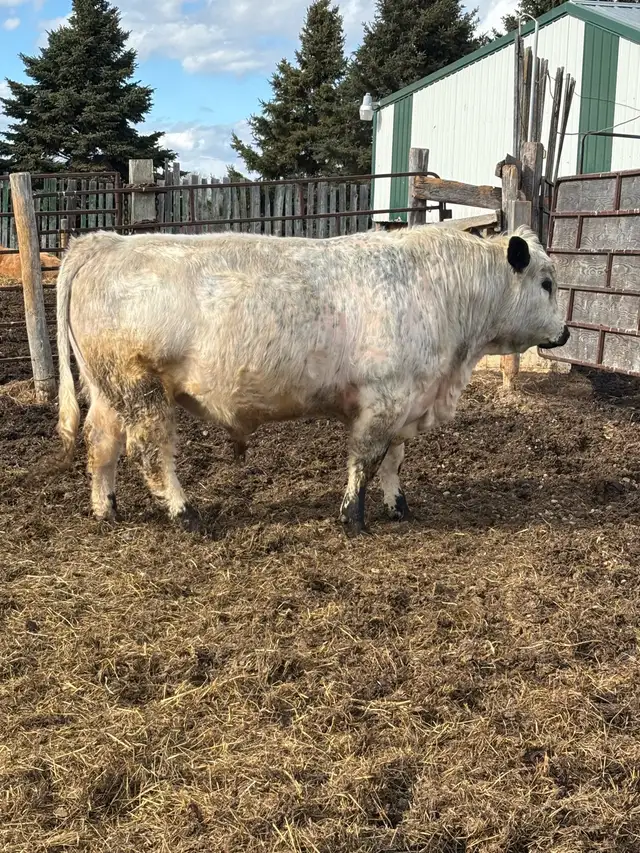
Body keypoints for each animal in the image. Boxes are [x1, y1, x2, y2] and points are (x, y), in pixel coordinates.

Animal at [56, 224, 568, 536]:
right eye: (547, 283)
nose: (564, 332)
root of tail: (106, 242)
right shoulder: (383, 400)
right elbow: (365, 460)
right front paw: (353, 518)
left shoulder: (407, 399)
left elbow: (394, 460)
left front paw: (398, 507)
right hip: (140, 389)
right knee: (152, 454)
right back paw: (185, 514)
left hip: (108, 392)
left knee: (101, 444)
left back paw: (106, 510)